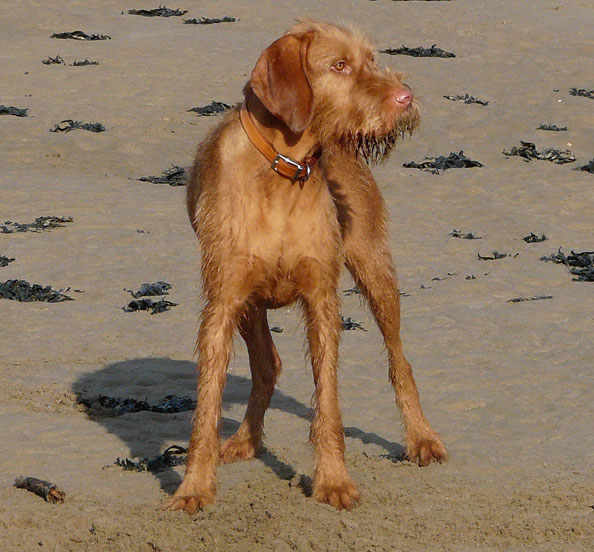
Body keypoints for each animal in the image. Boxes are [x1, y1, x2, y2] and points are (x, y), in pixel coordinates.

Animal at [167, 19, 447, 514]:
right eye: (339, 65)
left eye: (371, 60)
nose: (405, 97)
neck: (282, 171)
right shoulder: (222, 304)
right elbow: (206, 407)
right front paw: (195, 487)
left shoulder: (322, 300)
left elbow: (328, 403)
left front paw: (333, 479)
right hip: (250, 304)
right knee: (267, 365)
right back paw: (246, 439)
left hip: (375, 269)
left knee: (400, 360)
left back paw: (421, 438)